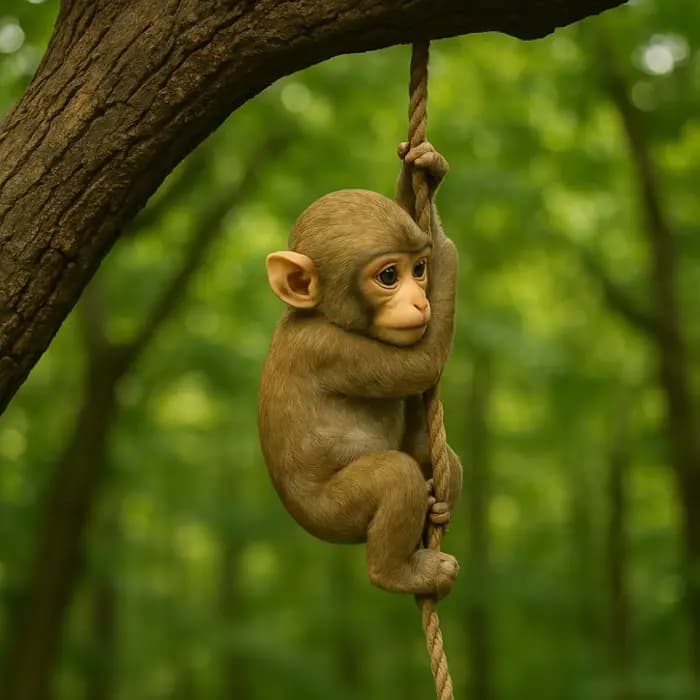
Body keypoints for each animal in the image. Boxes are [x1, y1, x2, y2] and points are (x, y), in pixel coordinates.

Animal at [258, 141, 463, 597]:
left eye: (417, 270)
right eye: (388, 275)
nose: (420, 301)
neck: (319, 314)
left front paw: (423, 173)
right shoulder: (329, 349)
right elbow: (422, 363)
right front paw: (445, 248)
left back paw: (438, 503)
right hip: (334, 511)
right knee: (394, 476)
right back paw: (402, 572)